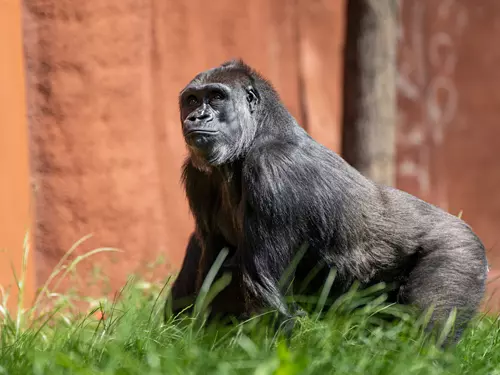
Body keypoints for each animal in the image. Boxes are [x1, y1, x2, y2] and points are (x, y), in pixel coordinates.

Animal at [165, 58, 488, 344]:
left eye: (216, 97)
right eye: (192, 100)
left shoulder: (273, 169)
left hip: (460, 252)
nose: (197, 117)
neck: (256, 135)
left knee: (428, 330)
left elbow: (262, 287)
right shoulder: (198, 176)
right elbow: (212, 269)